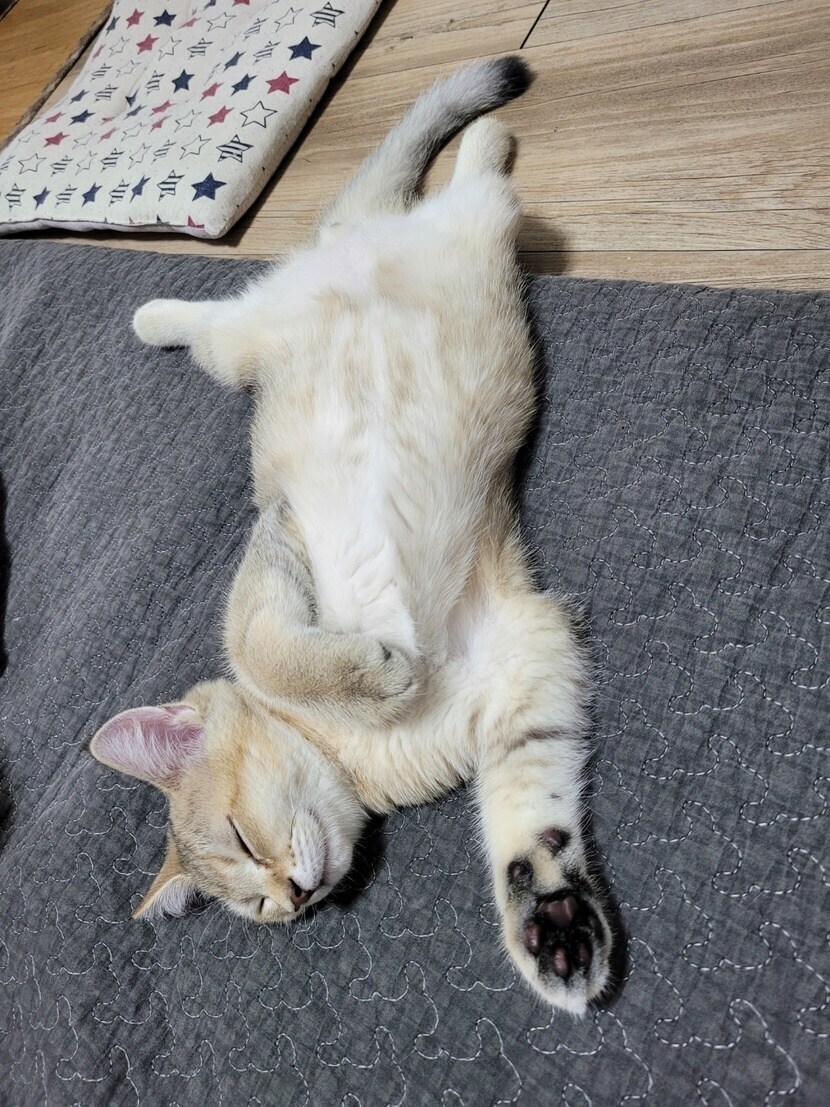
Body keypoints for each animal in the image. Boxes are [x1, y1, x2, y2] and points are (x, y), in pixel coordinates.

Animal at [89, 56, 615, 1017]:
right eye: (260, 910)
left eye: (240, 838)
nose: (296, 895)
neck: (356, 756)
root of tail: (353, 236)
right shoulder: (528, 658)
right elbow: (532, 805)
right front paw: (553, 926)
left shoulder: (277, 541)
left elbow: (263, 650)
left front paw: (373, 668)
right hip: (348, 292)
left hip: (384, 273)